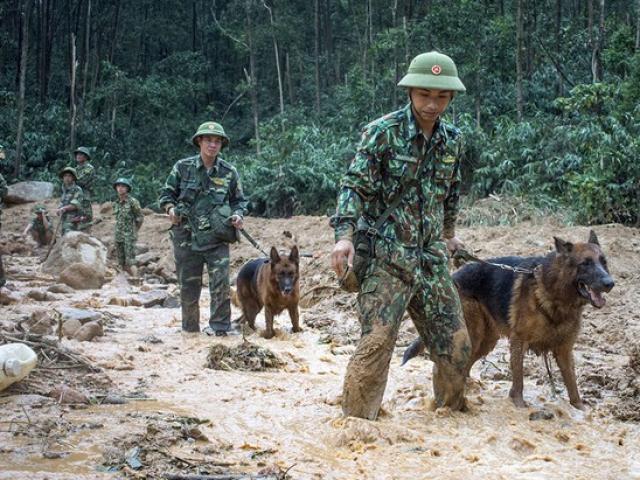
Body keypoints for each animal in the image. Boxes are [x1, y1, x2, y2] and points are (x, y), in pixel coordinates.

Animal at [404, 232, 616, 408]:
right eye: (585, 263)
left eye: (604, 262)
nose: (610, 283)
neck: (556, 294)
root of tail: (454, 274)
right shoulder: (518, 341)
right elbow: (519, 378)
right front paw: (519, 404)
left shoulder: (564, 350)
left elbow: (572, 384)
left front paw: (579, 409)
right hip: (473, 334)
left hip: (486, 341)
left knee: (466, 364)